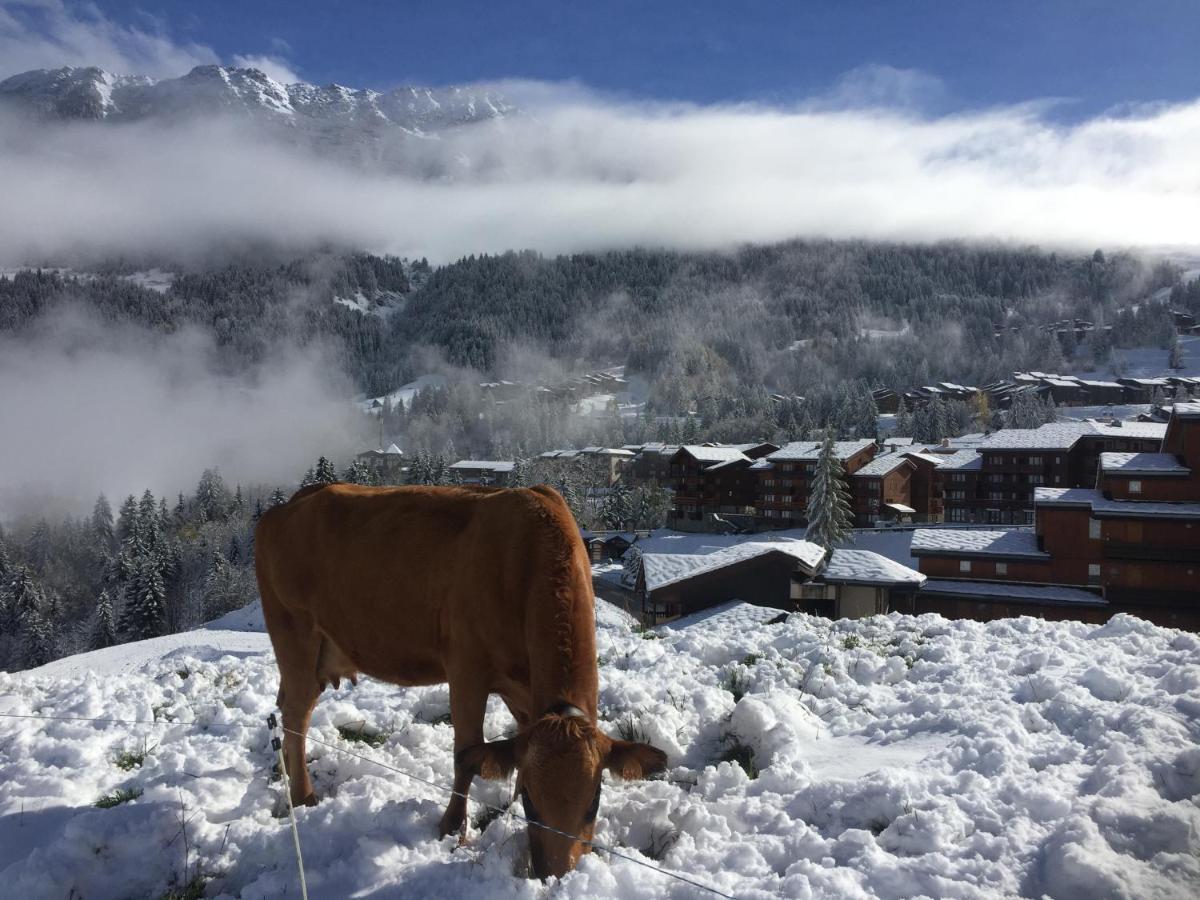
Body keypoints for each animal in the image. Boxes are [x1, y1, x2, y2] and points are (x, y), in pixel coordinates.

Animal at [255, 487, 667, 883]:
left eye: (594, 800)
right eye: (532, 801)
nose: (557, 874)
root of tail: (285, 507)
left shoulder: (522, 689)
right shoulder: (466, 668)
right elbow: (466, 754)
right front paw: (453, 828)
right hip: (294, 635)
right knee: (295, 716)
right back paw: (303, 796)